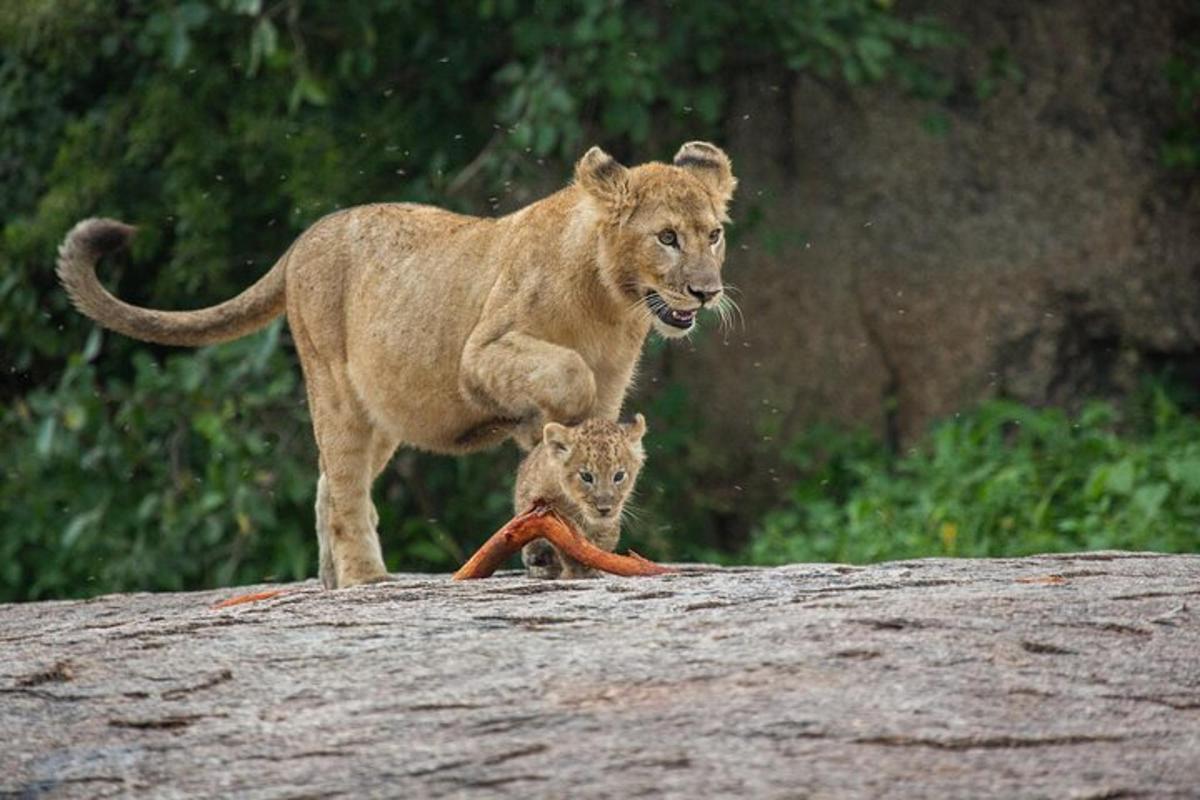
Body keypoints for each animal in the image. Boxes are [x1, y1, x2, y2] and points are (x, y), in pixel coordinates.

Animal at [516, 417, 648, 578]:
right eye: (586, 476)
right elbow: (567, 545)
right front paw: (574, 573)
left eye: (619, 476)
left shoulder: (607, 528)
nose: (604, 509)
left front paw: (592, 569)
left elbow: (599, 548)